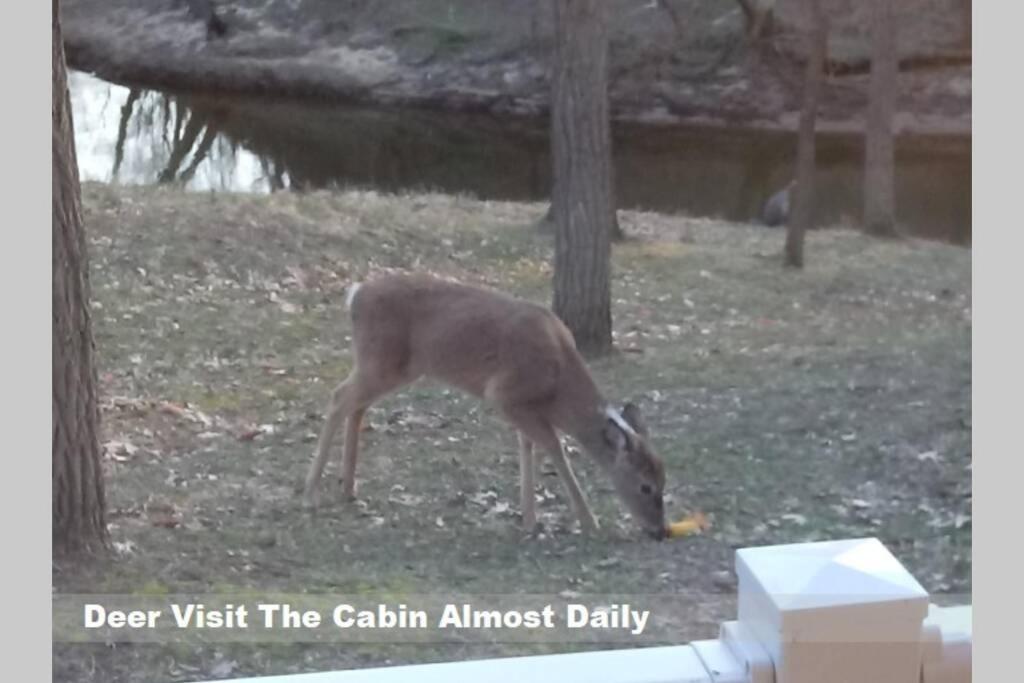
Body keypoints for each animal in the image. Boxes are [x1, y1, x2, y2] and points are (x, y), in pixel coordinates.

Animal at [301, 270, 671, 540]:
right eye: (646, 486)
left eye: (665, 480)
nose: (661, 531)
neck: (558, 385)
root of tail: (355, 294)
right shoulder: (504, 393)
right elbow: (554, 447)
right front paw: (588, 522)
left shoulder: (526, 407)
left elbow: (528, 447)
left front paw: (530, 519)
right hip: (381, 361)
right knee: (338, 397)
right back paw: (311, 494)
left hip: (391, 367)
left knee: (356, 405)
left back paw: (348, 489)